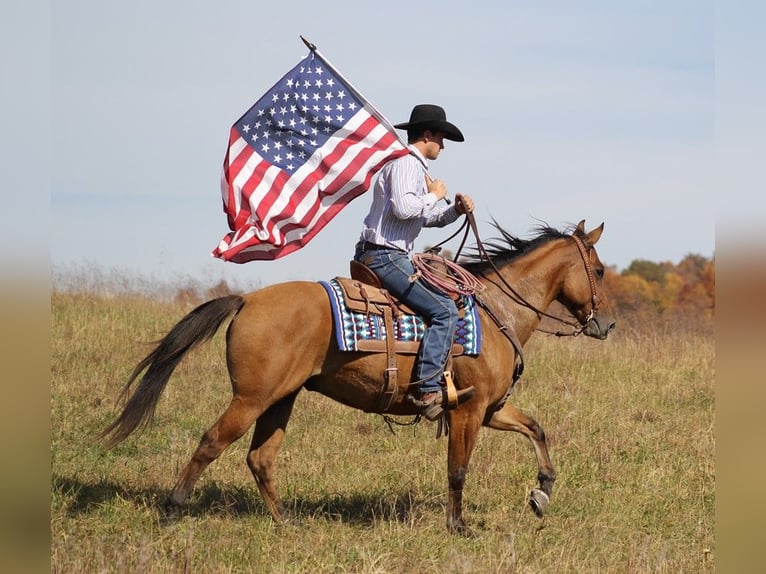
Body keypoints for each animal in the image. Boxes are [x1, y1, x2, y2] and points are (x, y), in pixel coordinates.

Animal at [103, 219, 616, 536]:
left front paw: (542, 492)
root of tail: (247, 300)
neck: (496, 313)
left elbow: (536, 429)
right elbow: (458, 469)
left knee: (260, 459)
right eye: (598, 269)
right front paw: (459, 527)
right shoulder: (468, 411)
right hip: (251, 399)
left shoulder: (491, 408)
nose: (608, 324)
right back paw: (173, 511)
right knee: (212, 442)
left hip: (280, 399)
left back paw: (286, 523)